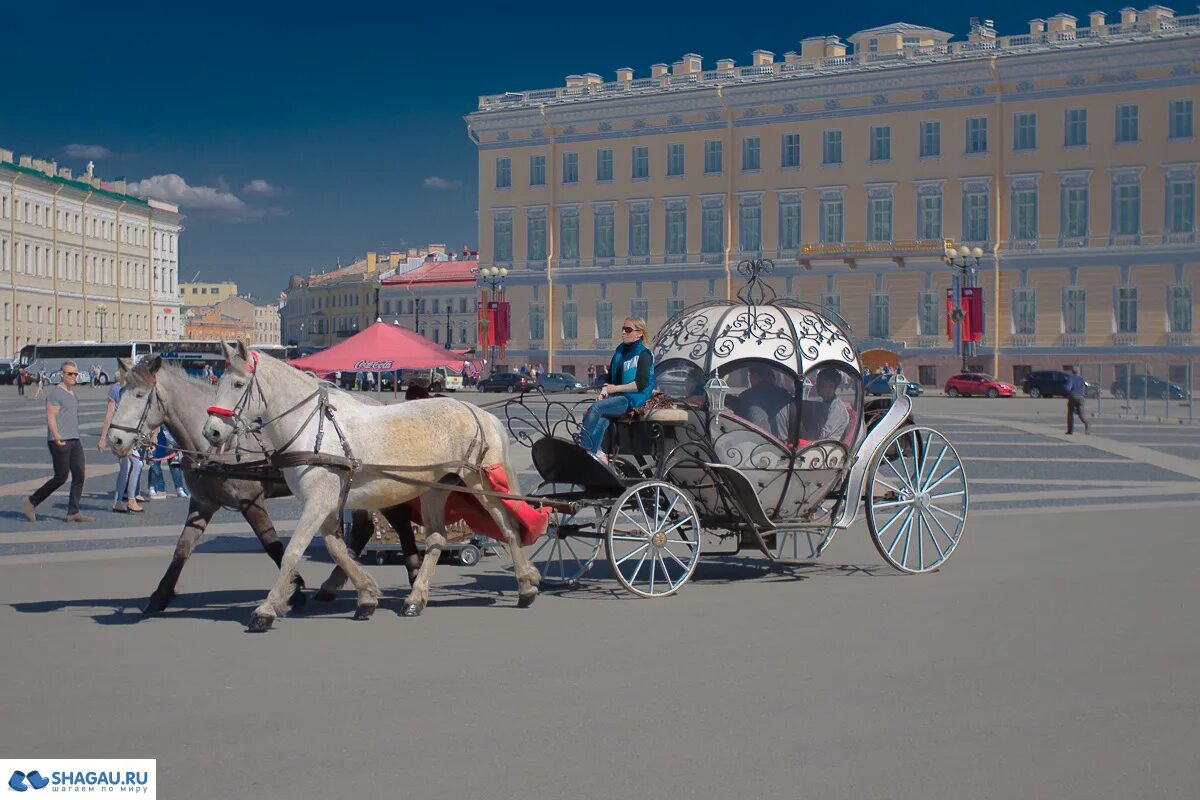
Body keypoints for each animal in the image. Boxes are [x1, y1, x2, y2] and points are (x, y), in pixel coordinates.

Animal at [204, 340, 542, 628]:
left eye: (238, 384)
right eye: (217, 382)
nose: (212, 432)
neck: (314, 428)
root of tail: (479, 412)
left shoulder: (318, 502)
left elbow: (294, 551)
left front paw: (266, 609)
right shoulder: (326, 503)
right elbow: (337, 548)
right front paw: (366, 595)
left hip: (480, 482)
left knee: (508, 526)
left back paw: (525, 586)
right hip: (437, 488)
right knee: (436, 538)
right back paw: (416, 598)